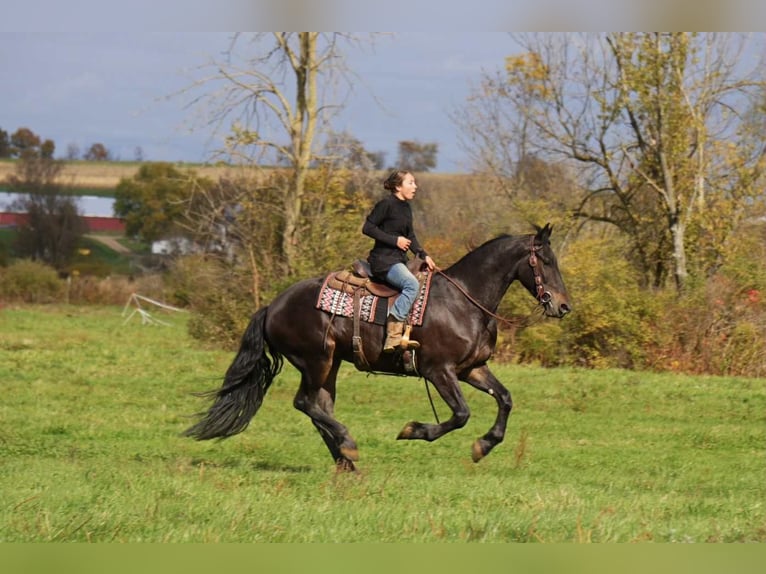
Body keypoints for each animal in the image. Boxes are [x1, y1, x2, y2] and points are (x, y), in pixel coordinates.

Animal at [184, 223, 571, 471]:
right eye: (545, 261)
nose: (563, 306)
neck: (464, 301)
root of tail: (272, 307)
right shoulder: (439, 371)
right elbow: (460, 414)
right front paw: (414, 430)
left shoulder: (472, 369)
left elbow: (505, 399)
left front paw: (483, 446)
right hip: (315, 361)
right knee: (306, 404)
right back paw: (349, 446)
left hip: (330, 365)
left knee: (319, 408)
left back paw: (345, 460)